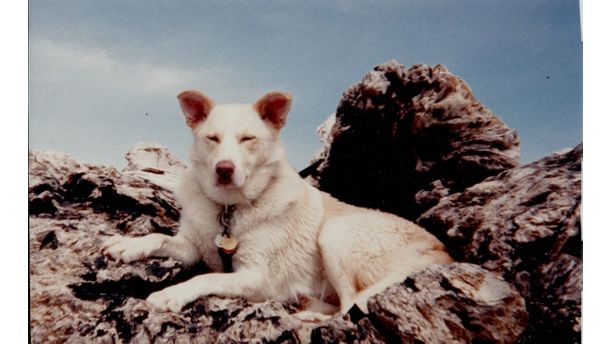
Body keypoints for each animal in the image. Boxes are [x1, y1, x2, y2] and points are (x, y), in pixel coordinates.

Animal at [101, 89, 454, 320]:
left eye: (247, 139)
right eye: (213, 139)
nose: (224, 169)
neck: (229, 211)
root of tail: (443, 251)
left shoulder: (256, 276)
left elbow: (204, 279)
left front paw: (172, 294)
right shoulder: (192, 247)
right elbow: (159, 238)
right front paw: (127, 245)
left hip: (335, 235)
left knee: (348, 308)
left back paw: (309, 314)